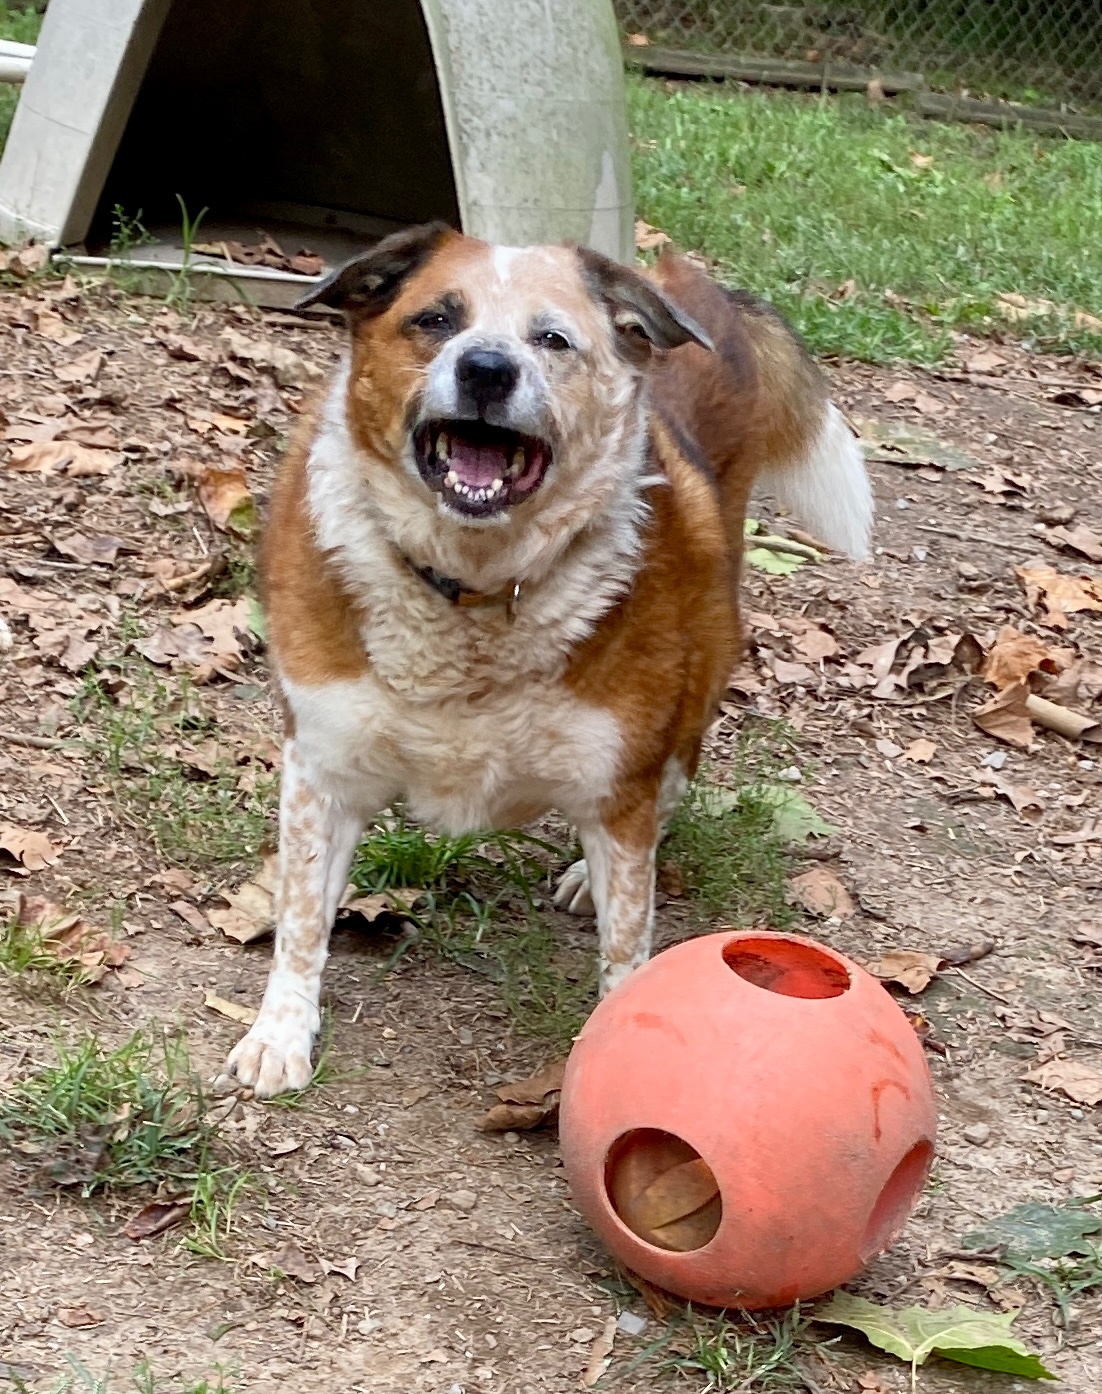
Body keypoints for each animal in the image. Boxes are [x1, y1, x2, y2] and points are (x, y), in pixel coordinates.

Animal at [225, 217, 869, 1092]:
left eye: (553, 339)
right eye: (436, 320)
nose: (486, 369)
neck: (474, 590)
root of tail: (694, 292)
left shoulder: (620, 777)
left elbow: (628, 945)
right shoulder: (321, 766)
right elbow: (298, 916)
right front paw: (281, 1032)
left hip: (699, 669)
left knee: (668, 783)